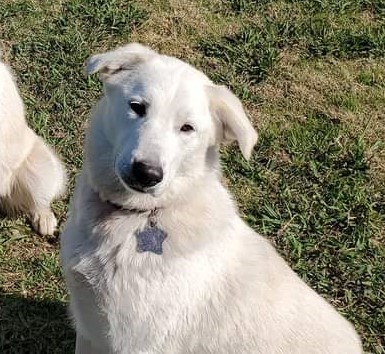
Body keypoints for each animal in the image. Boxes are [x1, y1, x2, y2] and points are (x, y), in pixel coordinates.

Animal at [59, 42, 360, 352]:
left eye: (187, 128)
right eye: (137, 107)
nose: (147, 173)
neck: (138, 216)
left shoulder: (136, 344)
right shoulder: (90, 331)